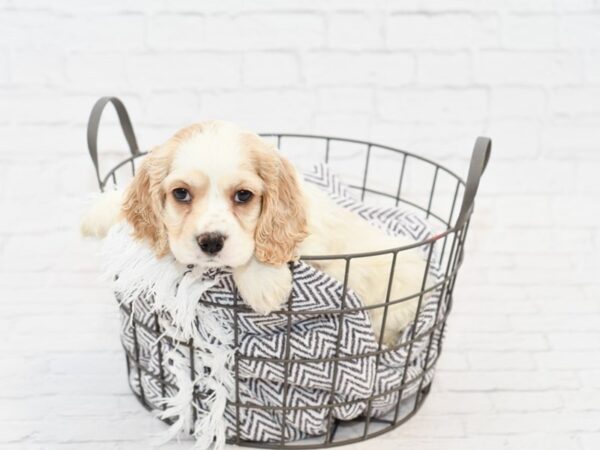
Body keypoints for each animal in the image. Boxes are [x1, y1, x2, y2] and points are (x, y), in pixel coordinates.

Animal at [82, 121, 428, 346]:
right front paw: (96, 212)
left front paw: (264, 284)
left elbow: (258, 248)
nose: (210, 242)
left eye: (243, 195)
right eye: (181, 193)